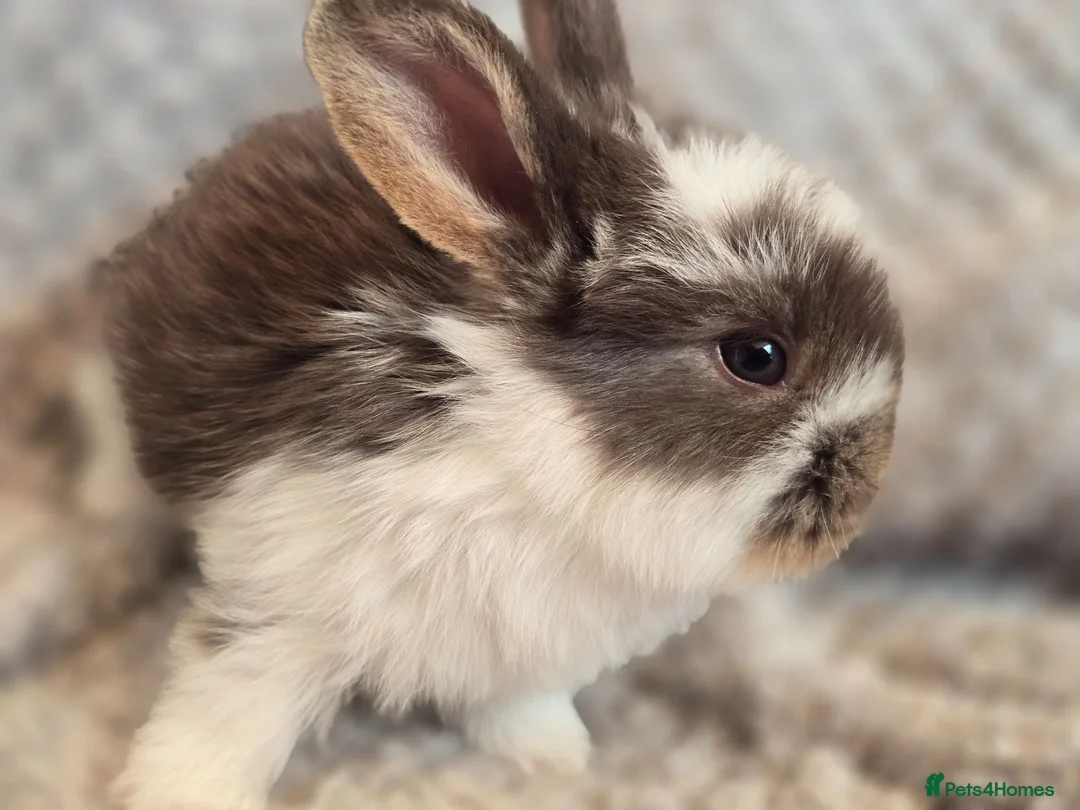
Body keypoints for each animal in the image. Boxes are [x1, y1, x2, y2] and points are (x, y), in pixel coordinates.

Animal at [102, 0, 904, 807]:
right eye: (757, 357)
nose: (863, 494)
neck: (539, 470)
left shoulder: (515, 650)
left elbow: (517, 708)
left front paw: (555, 760)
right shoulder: (276, 606)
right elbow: (225, 718)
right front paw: (171, 793)